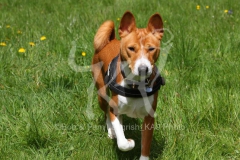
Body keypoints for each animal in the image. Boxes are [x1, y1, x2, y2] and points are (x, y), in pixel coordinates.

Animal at [91, 10, 164, 159]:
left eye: (151, 49)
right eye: (131, 48)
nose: (143, 69)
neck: (136, 86)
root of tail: (110, 40)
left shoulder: (149, 118)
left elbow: (145, 146)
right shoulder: (115, 109)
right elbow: (123, 143)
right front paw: (129, 142)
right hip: (102, 94)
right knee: (106, 113)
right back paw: (111, 131)